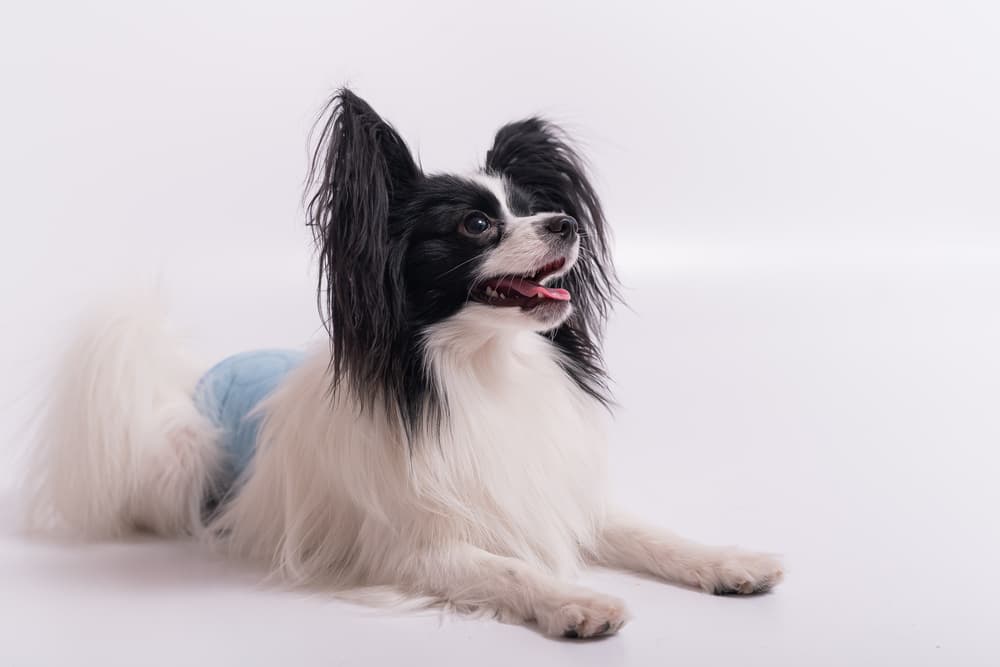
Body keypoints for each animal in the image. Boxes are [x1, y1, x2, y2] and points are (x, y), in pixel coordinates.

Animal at [23, 87, 780, 636]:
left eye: (536, 207)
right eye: (477, 225)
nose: (565, 224)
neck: (482, 368)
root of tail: (195, 381)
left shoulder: (553, 495)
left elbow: (651, 533)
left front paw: (728, 560)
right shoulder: (418, 548)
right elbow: (508, 569)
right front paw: (574, 600)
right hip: (183, 460)